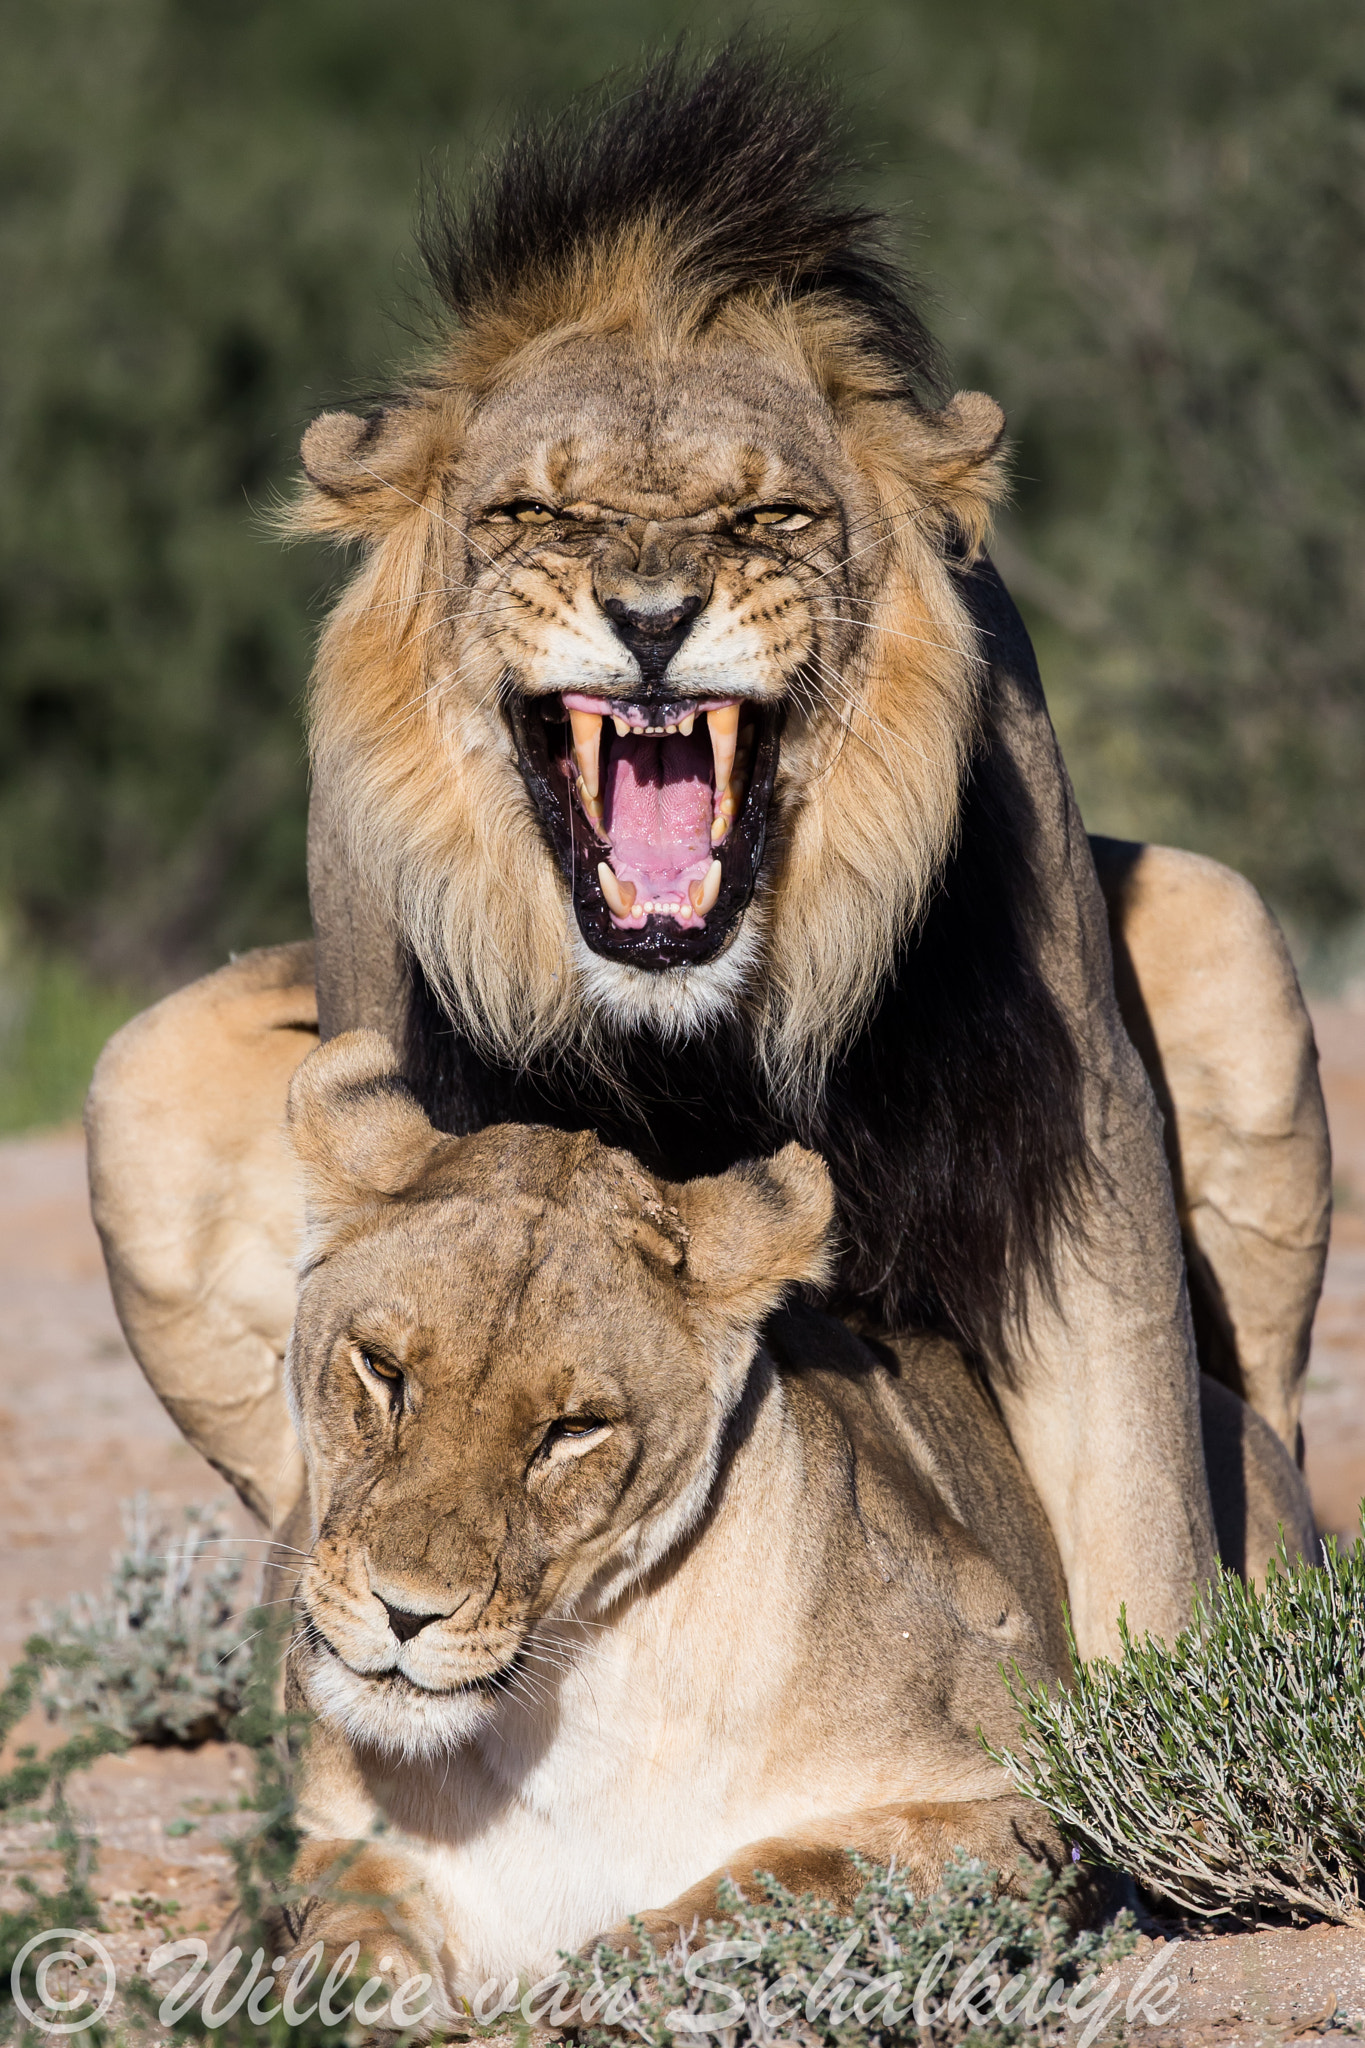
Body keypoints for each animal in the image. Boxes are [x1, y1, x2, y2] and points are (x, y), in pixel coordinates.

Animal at [80, 48, 1326, 1654]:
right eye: (532, 513)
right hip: (139, 1079)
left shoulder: (1083, 1117)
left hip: (1229, 934)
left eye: (769, 516)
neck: (691, 1027)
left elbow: (1142, 1498)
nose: (656, 615)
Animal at [278, 1032, 1309, 2023]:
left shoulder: (1034, 1797)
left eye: (574, 1429)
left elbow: (792, 1879)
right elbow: (337, 1940)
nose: (405, 1613)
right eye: (381, 1369)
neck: (575, 1696)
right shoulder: (350, 1844)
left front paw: (601, 1988)